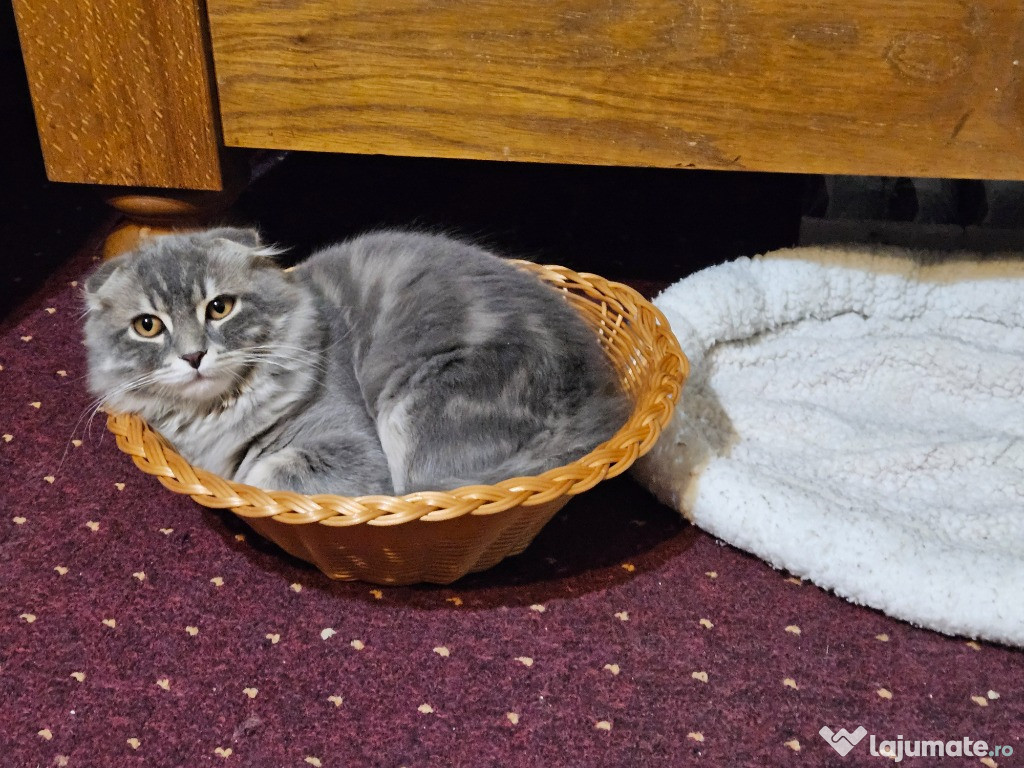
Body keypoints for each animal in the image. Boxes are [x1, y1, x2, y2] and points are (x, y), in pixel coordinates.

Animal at [83, 228, 630, 495]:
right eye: (148, 326)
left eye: (219, 307)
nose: (194, 355)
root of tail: (596, 399)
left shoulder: (349, 448)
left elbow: (262, 475)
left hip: (415, 411)